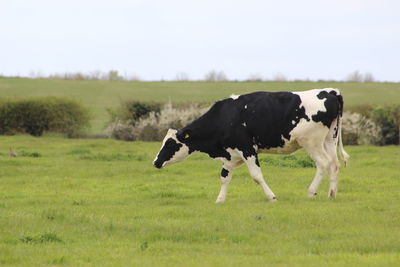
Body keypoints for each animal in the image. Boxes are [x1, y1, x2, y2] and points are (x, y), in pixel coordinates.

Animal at [155, 88, 348, 203]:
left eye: (170, 144)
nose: (155, 162)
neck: (226, 117)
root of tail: (330, 92)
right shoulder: (231, 154)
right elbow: (224, 177)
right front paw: (220, 200)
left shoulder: (247, 149)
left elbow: (256, 176)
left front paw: (272, 197)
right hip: (329, 139)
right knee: (334, 164)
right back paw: (331, 194)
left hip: (311, 142)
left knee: (323, 164)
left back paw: (311, 192)